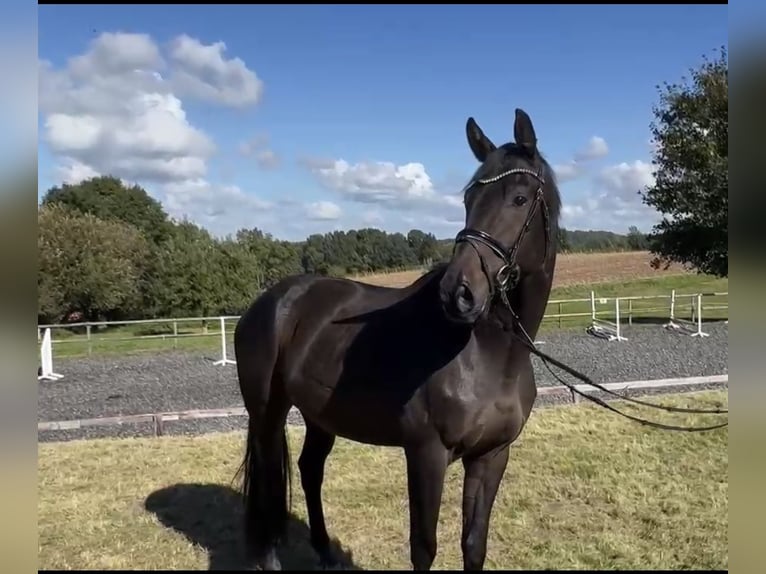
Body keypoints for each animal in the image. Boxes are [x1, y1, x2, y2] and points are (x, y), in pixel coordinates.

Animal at [234, 109, 564, 572]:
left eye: (519, 199)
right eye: (468, 200)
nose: (458, 293)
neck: (487, 355)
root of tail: (269, 302)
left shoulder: (491, 456)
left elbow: (474, 544)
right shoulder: (426, 453)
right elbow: (423, 545)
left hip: (319, 416)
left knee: (310, 468)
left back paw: (326, 552)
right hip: (268, 413)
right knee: (268, 479)